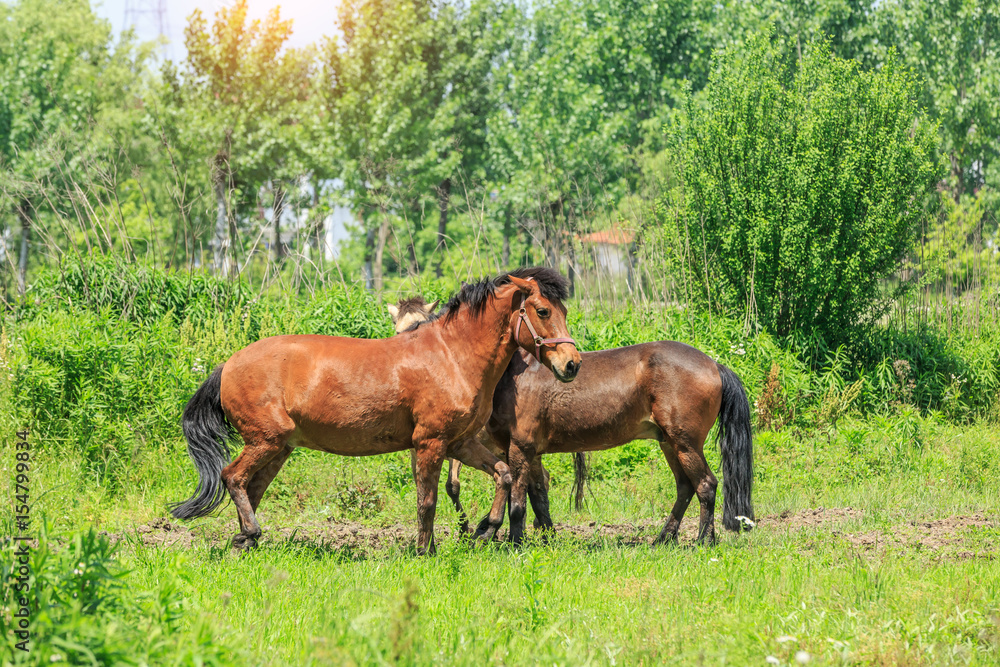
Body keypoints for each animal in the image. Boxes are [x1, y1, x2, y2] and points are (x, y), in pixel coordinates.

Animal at [168, 266, 584, 552]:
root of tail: (228, 365)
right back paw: (249, 535)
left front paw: (485, 528)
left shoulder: (460, 443)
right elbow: (427, 500)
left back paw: (246, 542)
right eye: (543, 311)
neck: (452, 355)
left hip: (279, 448)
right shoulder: (431, 442)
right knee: (232, 477)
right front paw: (425, 551)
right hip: (265, 441)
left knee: (250, 489)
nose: (572, 364)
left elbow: (503, 475)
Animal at [386, 294, 752, 544]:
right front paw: (542, 537)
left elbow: (518, 500)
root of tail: (713, 364)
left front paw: (511, 541)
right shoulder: (523, 450)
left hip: (685, 443)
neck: (512, 376)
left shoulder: (519, 447)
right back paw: (664, 539)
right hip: (669, 443)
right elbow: (535, 495)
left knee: (706, 485)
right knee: (685, 487)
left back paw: (704, 540)